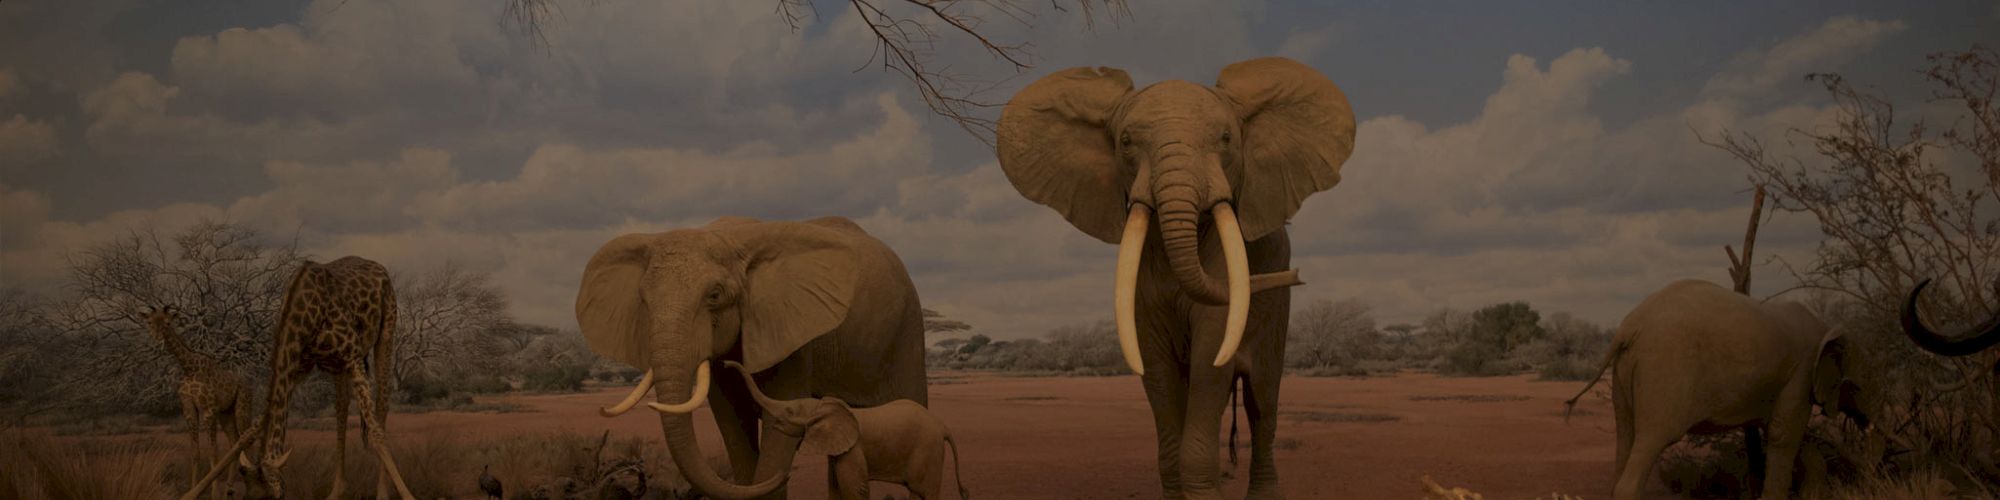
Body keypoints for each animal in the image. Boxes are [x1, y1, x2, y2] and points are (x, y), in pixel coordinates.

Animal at [572, 217, 928, 498]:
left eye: (714, 296)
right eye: (644, 301)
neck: (730, 239)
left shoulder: (792, 334)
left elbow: (777, 421)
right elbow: (732, 421)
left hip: (908, 329)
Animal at [724, 362, 972, 498]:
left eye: (789, 411)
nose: (726, 363)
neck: (824, 405)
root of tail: (942, 426)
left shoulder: (853, 448)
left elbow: (854, 488)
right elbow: (835, 488)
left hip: (927, 450)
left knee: (924, 492)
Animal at [1000, 56, 1360, 498]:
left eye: (1226, 138)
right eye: (1125, 141)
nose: (1295, 275)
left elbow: (1212, 354)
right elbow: (1154, 362)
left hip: (1277, 314)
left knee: (1262, 402)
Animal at [1568, 280, 1880, 500]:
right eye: (1864, 380)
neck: (1827, 329)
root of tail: (1629, 327)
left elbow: (1786, 432)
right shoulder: (1800, 373)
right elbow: (1785, 434)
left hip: (1625, 374)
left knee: (1627, 435)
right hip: (1665, 371)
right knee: (1653, 439)